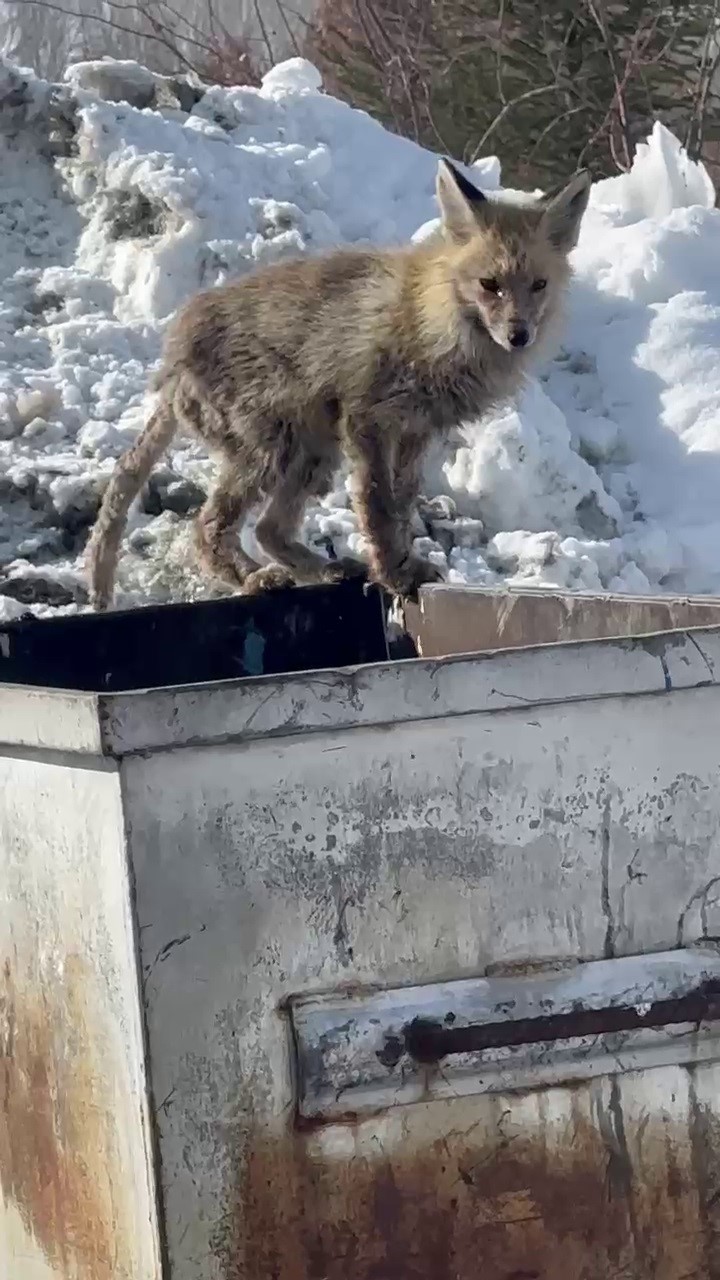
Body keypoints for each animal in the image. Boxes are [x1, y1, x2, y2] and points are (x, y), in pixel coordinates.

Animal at [85, 158, 589, 609]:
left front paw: (405, 567)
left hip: (312, 454)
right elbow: (378, 508)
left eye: (539, 285)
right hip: (272, 451)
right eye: (490, 284)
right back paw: (254, 580)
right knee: (206, 529)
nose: (519, 336)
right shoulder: (367, 419)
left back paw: (323, 569)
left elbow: (401, 507)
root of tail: (172, 360)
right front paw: (393, 575)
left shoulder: (416, 430)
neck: (432, 325)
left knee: (268, 530)